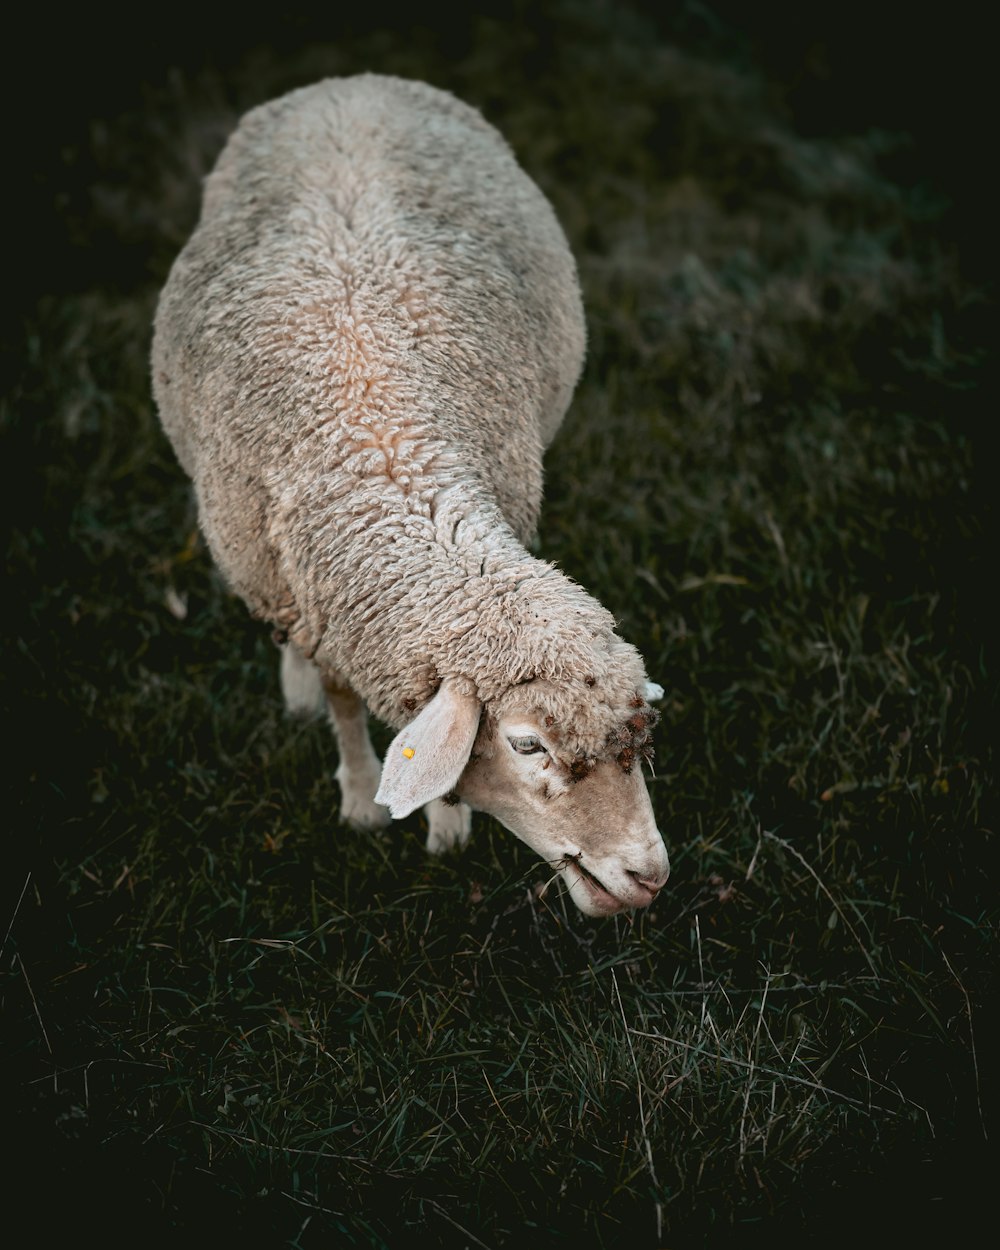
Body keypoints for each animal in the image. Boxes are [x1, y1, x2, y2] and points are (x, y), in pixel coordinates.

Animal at [152, 75, 670, 920]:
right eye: (528, 743)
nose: (648, 876)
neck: (386, 449)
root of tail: (350, 83)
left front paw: (446, 822)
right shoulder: (319, 600)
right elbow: (340, 696)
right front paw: (364, 799)